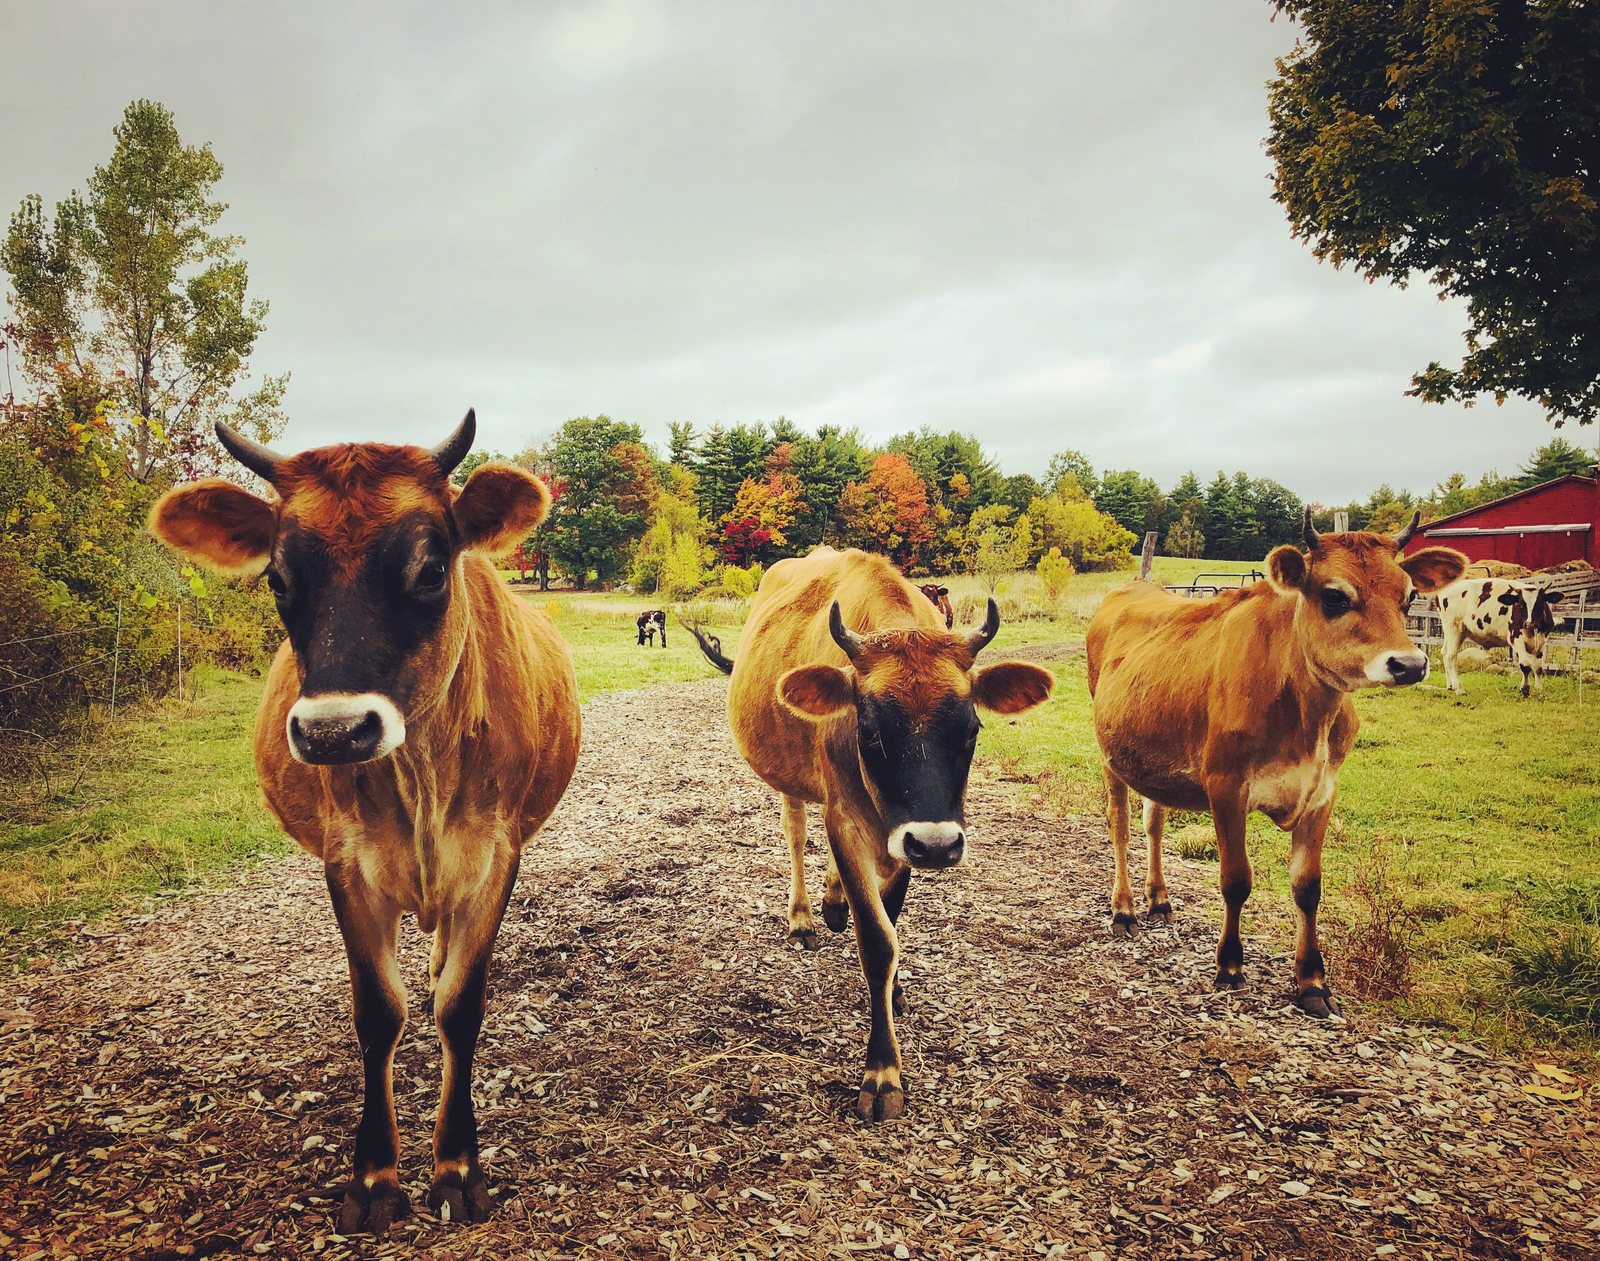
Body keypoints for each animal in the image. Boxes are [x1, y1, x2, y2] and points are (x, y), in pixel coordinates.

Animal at [149, 412, 580, 1233]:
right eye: (277, 578)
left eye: (432, 569)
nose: (333, 732)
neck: (423, 776)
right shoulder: (346, 863)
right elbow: (379, 1014)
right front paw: (376, 1176)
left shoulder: (495, 854)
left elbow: (460, 1007)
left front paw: (457, 1166)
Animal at [688, 547, 1053, 1120]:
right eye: (870, 730)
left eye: (971, 729)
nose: (939, 845)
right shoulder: (849, 820)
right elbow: (878, 940)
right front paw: (882, 1072)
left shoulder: (903, 838)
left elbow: (892, 918)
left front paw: (895, 989)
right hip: (792, 781)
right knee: (796, 831)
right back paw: (804, 916)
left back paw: (833, 900)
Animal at [1085, 511, 1464, 1016]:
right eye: (1333, 596)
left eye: (1408, 598)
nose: (1410, 664)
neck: (1307, 717)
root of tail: (1135, 586)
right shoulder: (1225, 785)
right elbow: (1235, 879)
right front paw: (1229, 966)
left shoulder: (1323, 790)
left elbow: (1308, 886)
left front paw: (1312, 981)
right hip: (1110, 755)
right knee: (1121, 826)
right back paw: (1124, 908)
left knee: (1153, 824)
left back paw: (1159, 899)